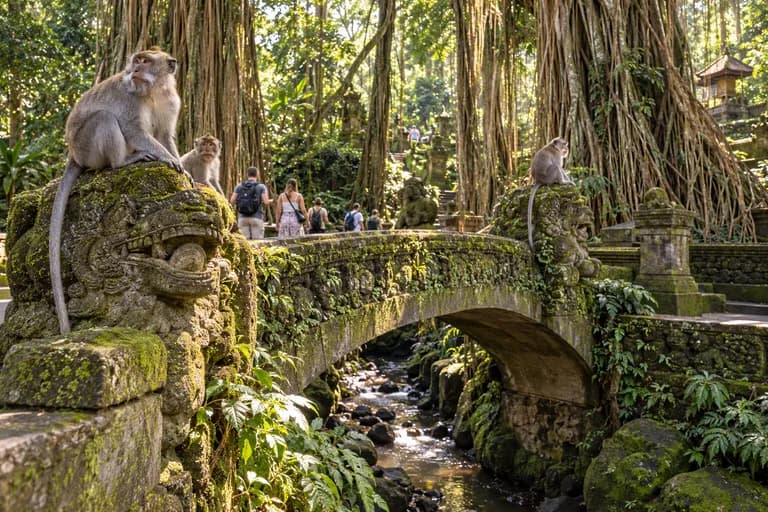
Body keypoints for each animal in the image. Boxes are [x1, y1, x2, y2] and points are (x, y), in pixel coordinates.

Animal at [49, 47, 188, 335]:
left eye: (144, 61)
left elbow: (165, 134)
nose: (132, 70)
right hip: (87, 147)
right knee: (104, 118)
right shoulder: (130, 97)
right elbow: (135, 129)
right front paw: (168, 159)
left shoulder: (172, 101)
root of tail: (73, 154)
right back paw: (123, 161)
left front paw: (184, 167)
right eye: (136, 60)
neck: (154, 90)